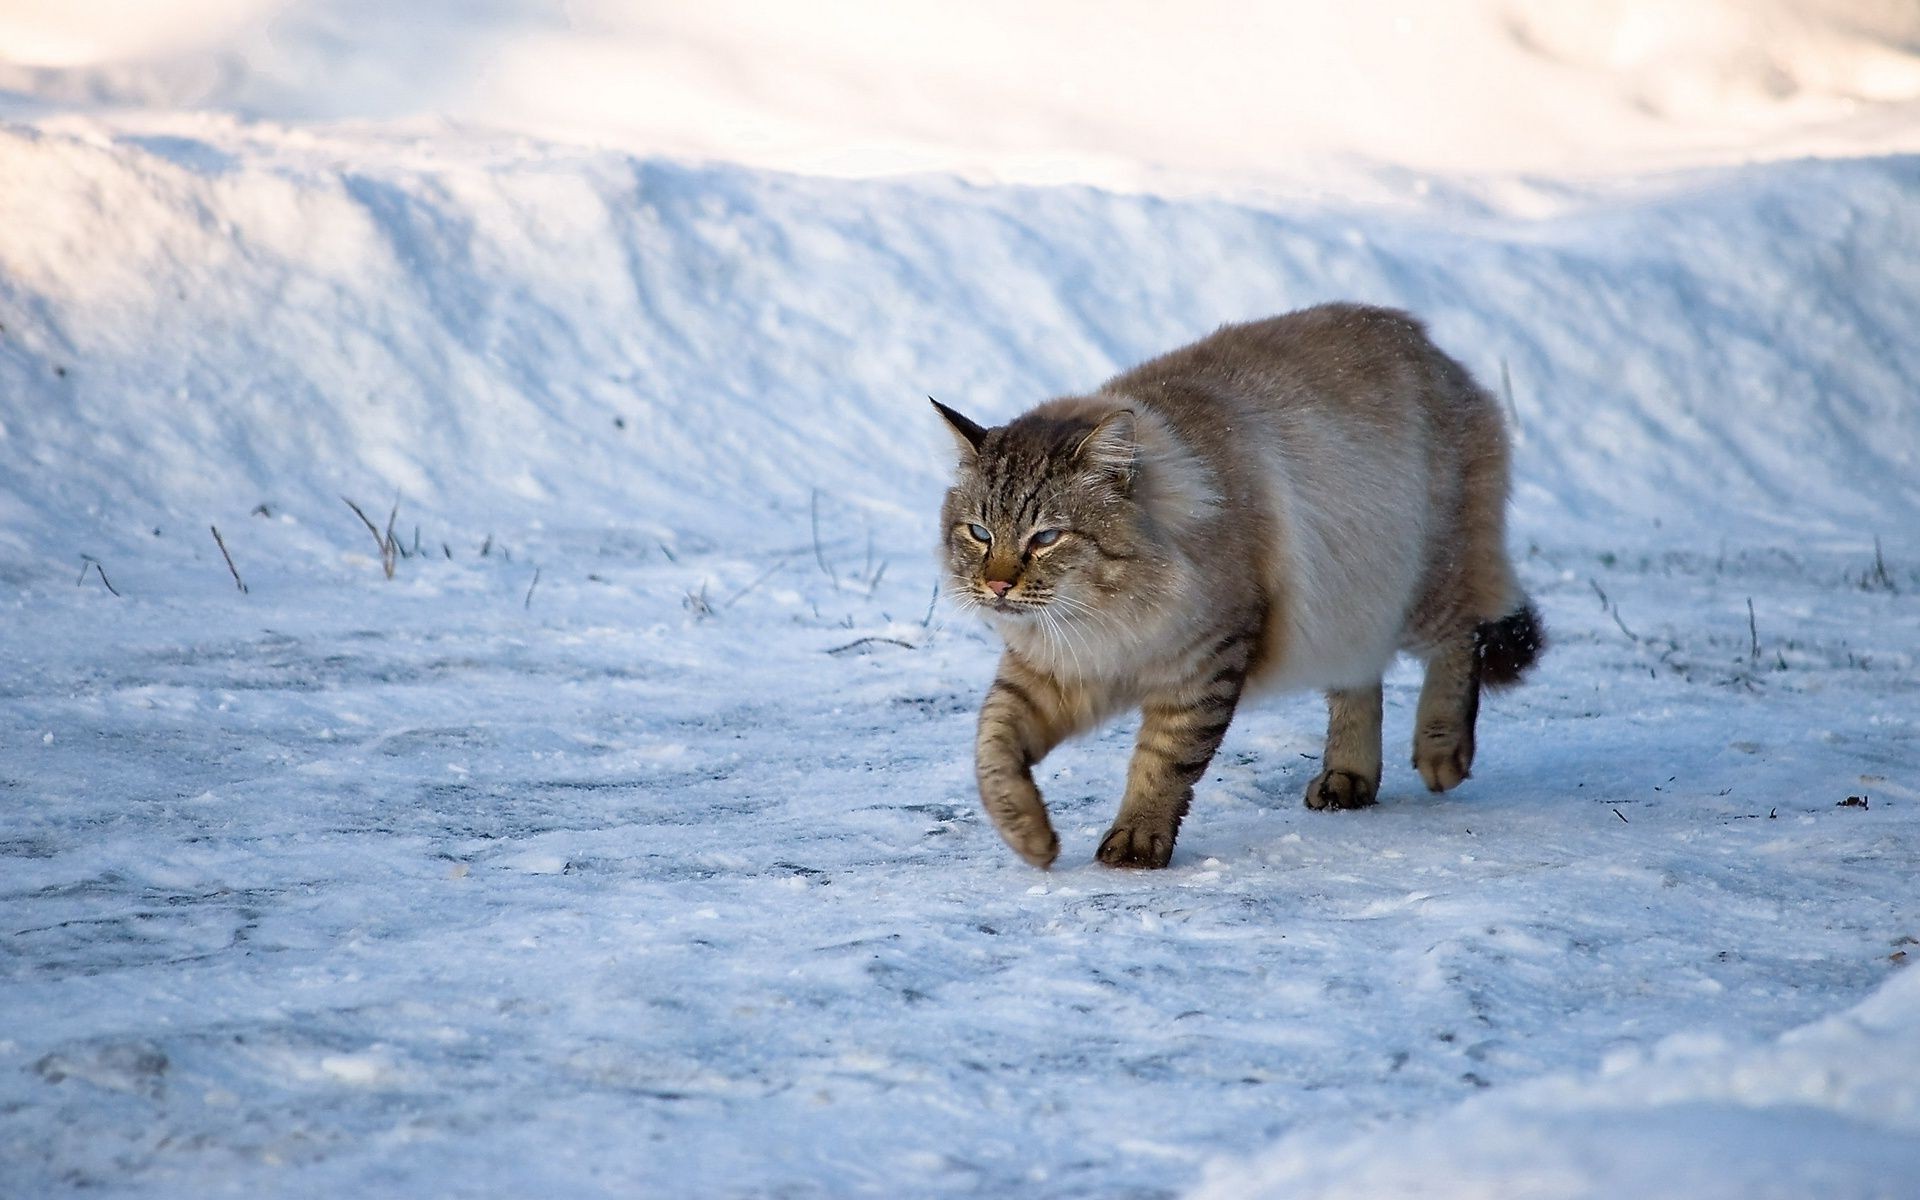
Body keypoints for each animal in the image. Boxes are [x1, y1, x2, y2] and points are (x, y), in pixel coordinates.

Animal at [929, 307, 1543, 871]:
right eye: (980, 533)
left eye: (1046, 537)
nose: (997, 585)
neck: (1109, 617)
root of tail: (1423, 338)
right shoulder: (1051, 672)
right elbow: (992, 750)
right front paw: (1029, 836)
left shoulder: (1203, 663)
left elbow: (1162, 763)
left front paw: (1135, 842)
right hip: (1351, 608)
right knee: (1362, 685)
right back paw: (1348, 779)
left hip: (1421, 588)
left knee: (1463, 638)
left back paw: (1443, 751)